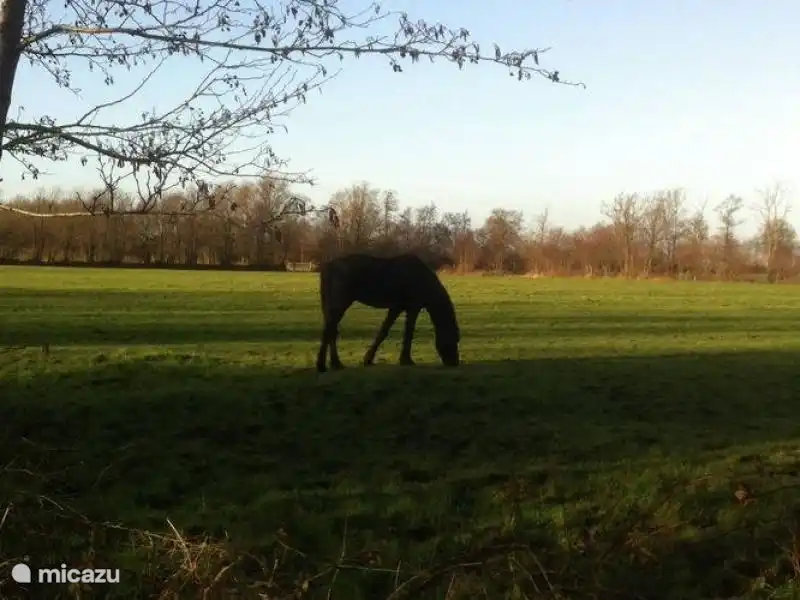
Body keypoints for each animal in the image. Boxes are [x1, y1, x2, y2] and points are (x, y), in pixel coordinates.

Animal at [315, 253, 461, 373]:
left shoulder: (398, 308)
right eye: (454, 338)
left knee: (331, 331)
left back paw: (336, 364)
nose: (454, 363)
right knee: (329, 330)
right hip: (340, 304)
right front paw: (406, 360)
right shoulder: (411, 307)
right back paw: (321, 365)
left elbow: (385, 331)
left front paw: (369, 359)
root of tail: (328, 266)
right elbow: (405, 332)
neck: (422, 280)